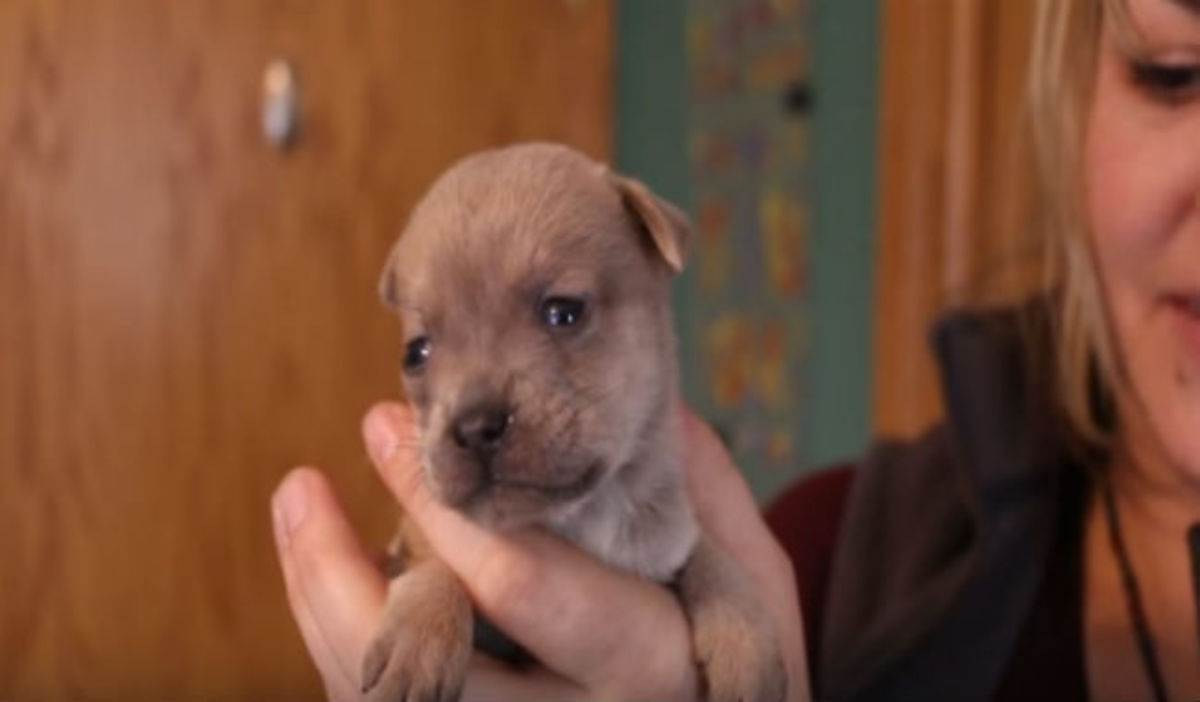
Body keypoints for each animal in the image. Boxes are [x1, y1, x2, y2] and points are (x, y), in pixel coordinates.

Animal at [372, 142, 787, 700]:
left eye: (563, 312)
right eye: (416, 354)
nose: (475, 427)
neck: (585, 517)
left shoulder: (665, 538)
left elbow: (706, 550)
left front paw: (746, 635)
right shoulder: (416, 541)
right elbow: (433, 555)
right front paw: (421, 630)